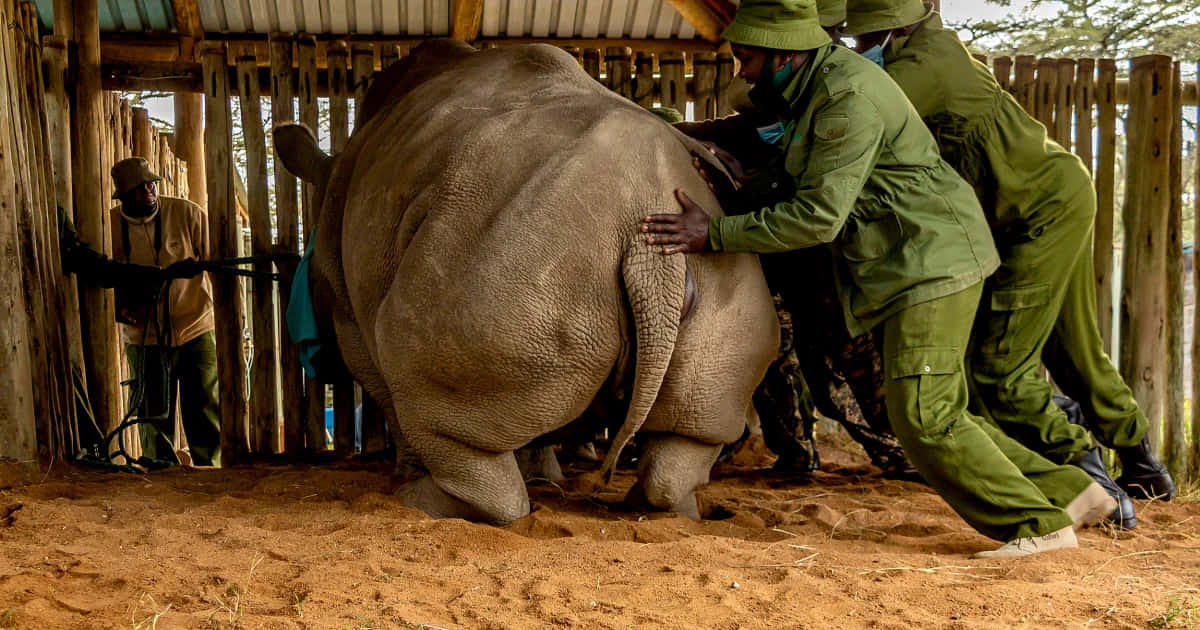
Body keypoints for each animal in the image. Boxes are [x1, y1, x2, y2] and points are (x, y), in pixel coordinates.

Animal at [273, 39, 778, 525]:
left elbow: (385, 390)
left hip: (512, 263)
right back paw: (670, 512)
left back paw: (415, 502)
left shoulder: (346, 309)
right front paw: (544, 476)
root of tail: (648, 238)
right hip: (683, 262)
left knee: (425, 386)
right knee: (694, 426)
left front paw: (407, 470)